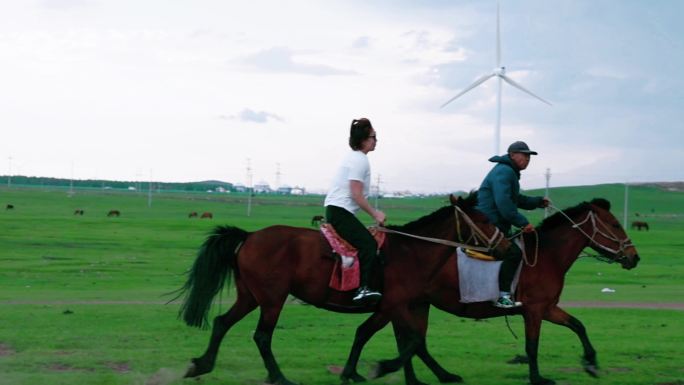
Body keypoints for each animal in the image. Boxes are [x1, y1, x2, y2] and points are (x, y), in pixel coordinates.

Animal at [342, 198, 640, 384]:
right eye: (615, 225)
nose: (634, 257)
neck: (547, 255)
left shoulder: (548, 308)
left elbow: (578, 325)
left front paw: (591, 363)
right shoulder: (534, 310)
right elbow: (532, 345)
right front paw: (538, 378)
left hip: (416, 305)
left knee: (412, 341)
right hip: (400, 305)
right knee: (389, 336)